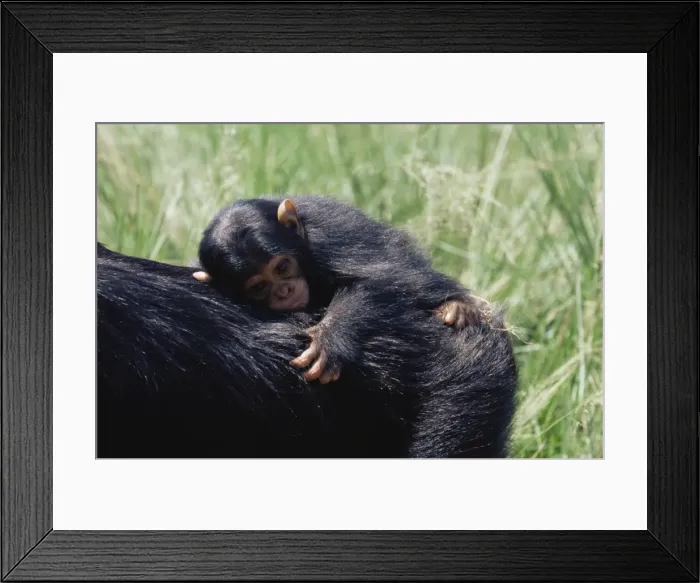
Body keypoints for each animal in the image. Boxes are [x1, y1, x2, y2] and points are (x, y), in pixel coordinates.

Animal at [192, 196, 490, 385]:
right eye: (259, 286)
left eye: (282, 267)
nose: (284, 291)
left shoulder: (328, 237)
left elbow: (382, 277)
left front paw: (331, 337)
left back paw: (457, 307)